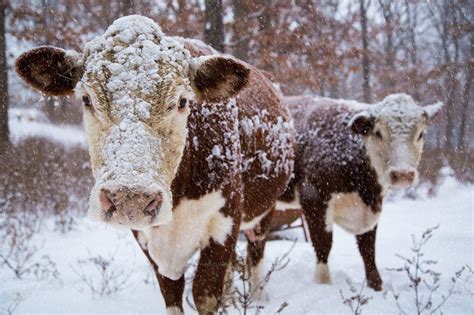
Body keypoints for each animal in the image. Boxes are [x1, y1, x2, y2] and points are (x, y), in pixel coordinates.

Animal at [15, 16, 296, 314]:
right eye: (86, 98)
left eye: (182, 101)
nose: (131, 197)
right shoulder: (146, 237)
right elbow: (171, 293)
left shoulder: (225, 218)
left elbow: (205, 293)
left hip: (264, 211)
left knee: (256, 253)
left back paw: (257, 297)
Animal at [276, 94, 442, 292]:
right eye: (378, 133)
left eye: (421, 134)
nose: (402, 174)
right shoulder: (313, 198)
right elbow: (323, 244)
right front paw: (323, 283)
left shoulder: (371, 210)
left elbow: (368, 248)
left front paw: (376, 285)